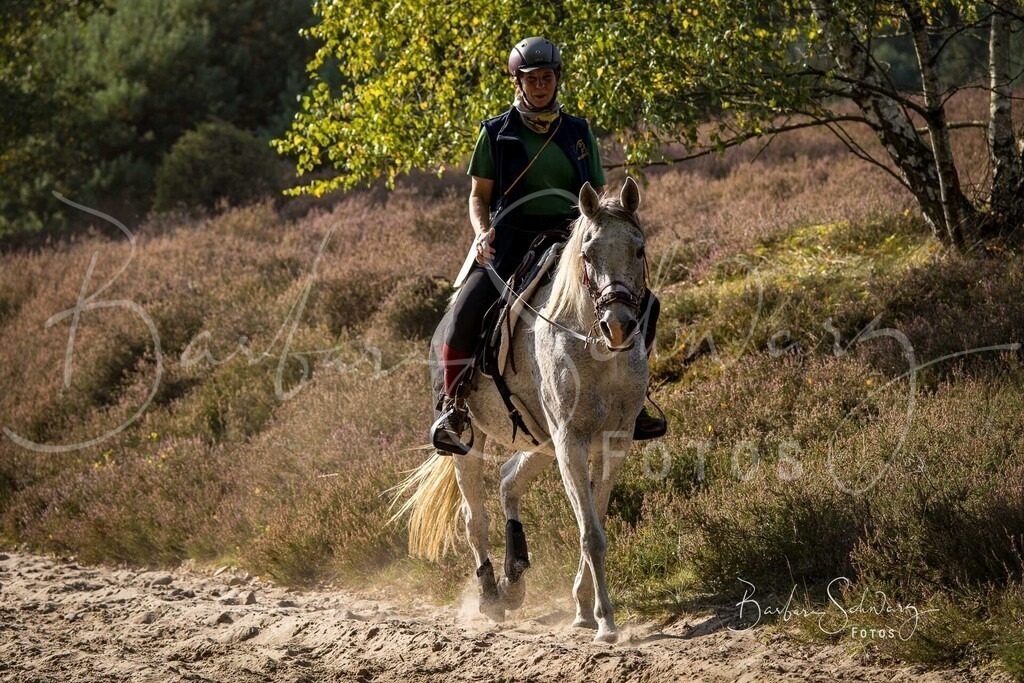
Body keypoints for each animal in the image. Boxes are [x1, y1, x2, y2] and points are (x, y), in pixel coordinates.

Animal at [393, 178, 650, 643]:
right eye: (587, 254)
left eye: (638, 249)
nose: (619, 326)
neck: (596, 349)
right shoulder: (570, 442)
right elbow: (590, 532)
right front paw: (604, 621)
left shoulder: (614, 442)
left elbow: (596, 519)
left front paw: (583, 607)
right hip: (470, 441)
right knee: (474, 518)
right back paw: (491, 595)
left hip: (540, 442)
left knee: (508, 482)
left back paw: (514, 577)